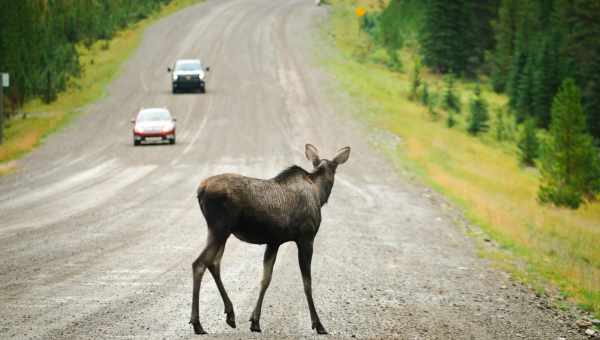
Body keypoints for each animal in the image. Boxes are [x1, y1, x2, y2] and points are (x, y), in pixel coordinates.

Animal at [190, 143, 352, 334]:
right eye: (335, 168)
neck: (319, 194)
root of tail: (201, 190)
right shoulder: (306, 239)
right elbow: (307, 283)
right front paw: (318, 324)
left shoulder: (274, 242)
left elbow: (265, 279)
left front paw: (255, 321)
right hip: (220, 229)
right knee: (199, 264)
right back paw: (197, 323)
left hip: (219, 232)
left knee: (214, 263)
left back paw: (230, 314)